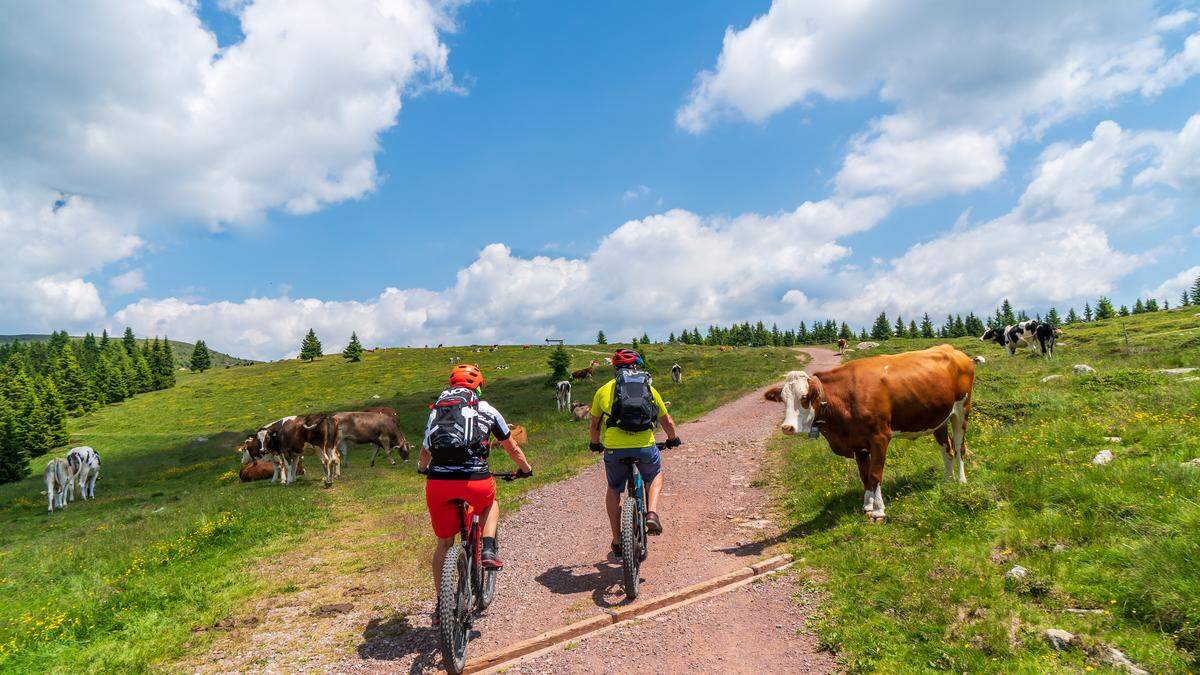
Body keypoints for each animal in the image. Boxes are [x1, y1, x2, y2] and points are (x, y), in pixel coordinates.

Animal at [777, 341, 974, 521]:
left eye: (804, 398)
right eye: (783, 399)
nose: (787, 427)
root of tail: (952, 349)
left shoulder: (880, 437)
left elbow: (875, 474)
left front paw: (879, 511)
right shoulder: (857, 442)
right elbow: (865, 476)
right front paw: (867, 505)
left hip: (962, 410)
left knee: (959, 447)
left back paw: (962, 480)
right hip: (939, 417)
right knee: (946, 449)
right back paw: (947, 481)